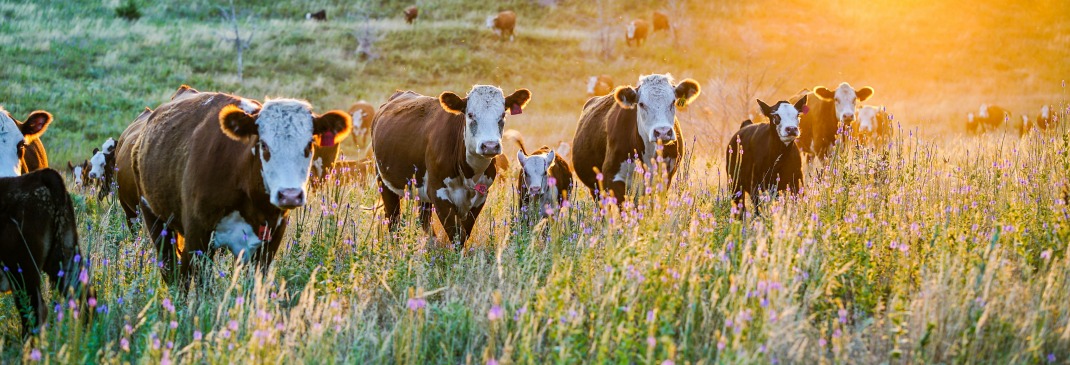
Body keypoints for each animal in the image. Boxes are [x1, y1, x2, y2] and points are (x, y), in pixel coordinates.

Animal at [120, 86, 355, 284]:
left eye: (309, 144)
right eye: (263, 144)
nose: (289, 195)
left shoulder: (269, 242)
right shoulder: (197, 237)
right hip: (154, 219)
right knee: (171, 270)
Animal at [372, 85, 530, 244]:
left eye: (502, 115)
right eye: (470, 115)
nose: (490, 146)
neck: (469, 174)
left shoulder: (481, 196)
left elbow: (465, 232)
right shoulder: (438, 193)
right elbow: (457, 234)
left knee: (423, 218)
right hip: (384, 182)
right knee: (393, 219)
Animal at [573, 73, 697, 204]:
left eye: (673, 102)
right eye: (641, 104)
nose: (662, 132)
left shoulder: (664, 178)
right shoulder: (611, 177)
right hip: (595, 188)